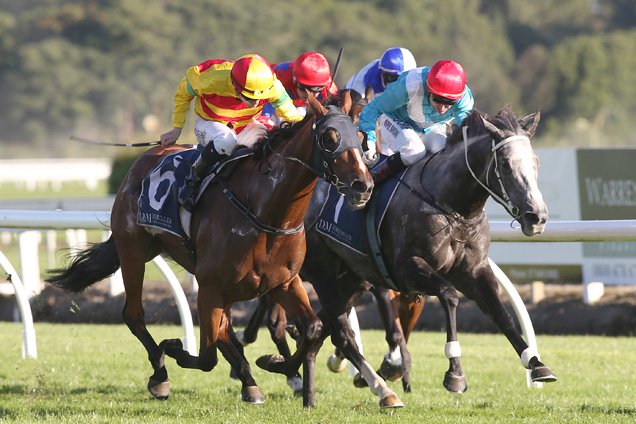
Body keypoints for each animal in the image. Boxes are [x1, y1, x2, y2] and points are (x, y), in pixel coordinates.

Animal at [47, 95, 376, 408]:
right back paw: (161, 374)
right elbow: (206, 356)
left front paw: (275, 364)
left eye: (360, 136)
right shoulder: (209, 288)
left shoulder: (283, 283)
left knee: (224, 329)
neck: (265, 212)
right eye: (329, 137)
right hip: (133, 251)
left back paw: (247, 379)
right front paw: (175, 348)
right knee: (134, 314)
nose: (363, 185)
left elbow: (313, 328)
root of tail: (145, 159)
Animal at [300, 106, 556, 408]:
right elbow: (449, 295)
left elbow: (500, 313)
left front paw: (537, 364)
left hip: (351, 279)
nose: (536, 217)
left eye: (536, 162)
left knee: (319, 327)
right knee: (339, 332)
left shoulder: (475, 271)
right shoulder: (408, 270)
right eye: (504, 164)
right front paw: (455, 374)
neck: (453, 207)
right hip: (323, 271)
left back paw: (302, 385)